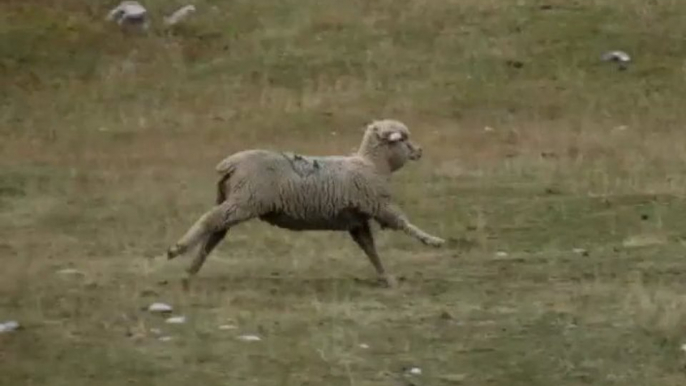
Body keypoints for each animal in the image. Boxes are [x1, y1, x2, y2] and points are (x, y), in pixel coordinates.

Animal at [166, 119, 446, 288]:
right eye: (403, 139)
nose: (419, 151)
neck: (373, 165)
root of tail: (230, 164)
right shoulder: (379, 205)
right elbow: (405, 225)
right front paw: (433, 241)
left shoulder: (356, 220)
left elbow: (370, 249)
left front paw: (386, 276)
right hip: (245, 200)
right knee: (208, 220)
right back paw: (177, 249)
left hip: (235, 200)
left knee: (215, 232)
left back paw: (190, 271)